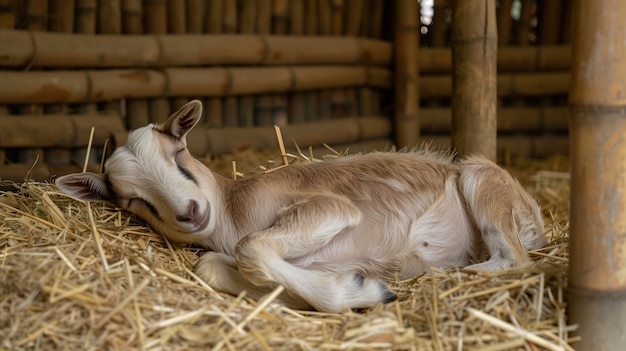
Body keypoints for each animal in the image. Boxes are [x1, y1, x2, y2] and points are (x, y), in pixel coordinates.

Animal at [56, 99, 544, 314]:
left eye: (178, 154)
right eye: (133, 201)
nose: (191, 212)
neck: (232, 210)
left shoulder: (330, 209)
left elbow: (252, 248)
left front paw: (364, 291)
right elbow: (213, 266)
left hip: (481, 180)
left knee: (515, 259)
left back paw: (447, 275)